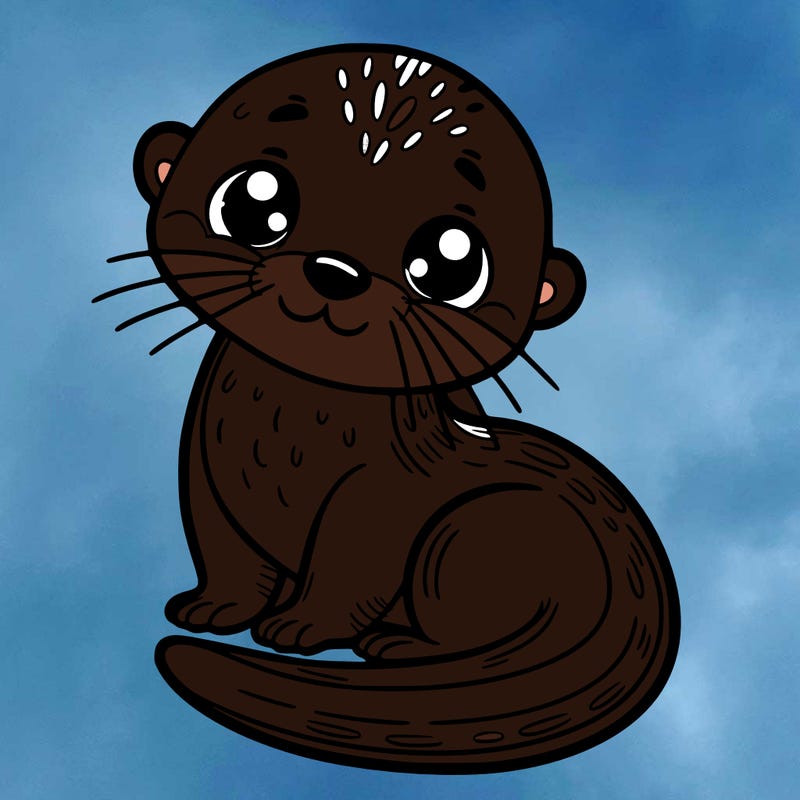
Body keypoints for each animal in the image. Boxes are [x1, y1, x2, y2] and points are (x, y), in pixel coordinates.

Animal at [101, 45, 679, 774]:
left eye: (451, 262)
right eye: (254, 201)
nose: (335, 271)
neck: (282, 436)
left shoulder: (379, 495)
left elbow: (351, 566)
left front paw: (300, 626)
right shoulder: (206, 469)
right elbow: (224, 549)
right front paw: (212, 608)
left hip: (472, 532)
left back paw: (399, 645)